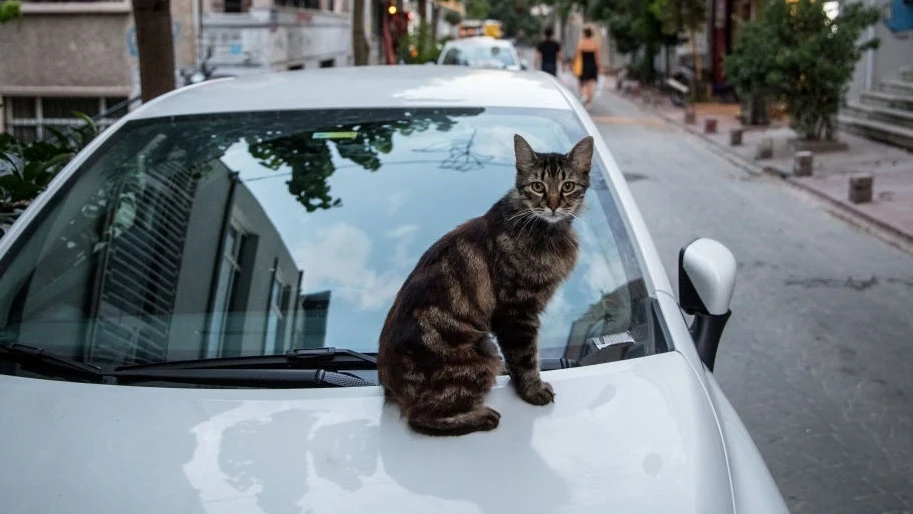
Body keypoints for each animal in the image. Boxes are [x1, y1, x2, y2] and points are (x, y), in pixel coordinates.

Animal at [376, 134, 596, 434]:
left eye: (568, 186)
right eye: (538, 186)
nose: (552, 205)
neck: (547, 232)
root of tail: (388, 384)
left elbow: (519, 359)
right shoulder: (516, 312)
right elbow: (526, 358)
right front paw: (532, 391)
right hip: (481, 353)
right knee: (419, 418)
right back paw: (483, 417)